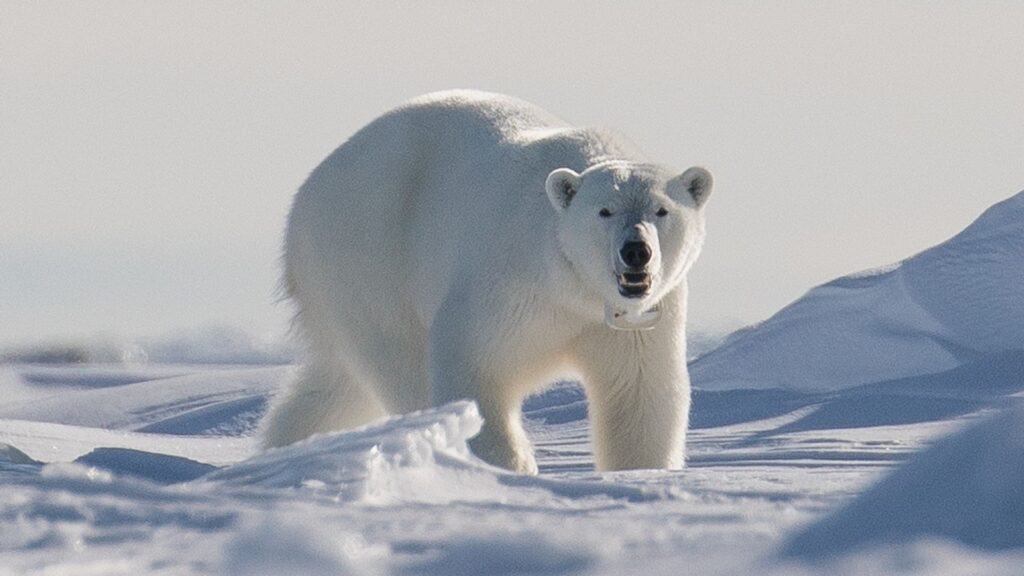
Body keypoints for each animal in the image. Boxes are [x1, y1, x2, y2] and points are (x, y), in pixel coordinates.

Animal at [262, 89, 712, 471]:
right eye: (604, 211)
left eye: (661, 210)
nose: (636, 251)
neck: (574, 286)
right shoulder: (510, 283)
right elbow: (472, 364)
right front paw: (512, 464)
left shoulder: (636, 320)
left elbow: (639, 397)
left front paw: (642, 472)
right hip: (368, 256)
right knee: (400, 361)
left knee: (336, 385)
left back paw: (284, 446)